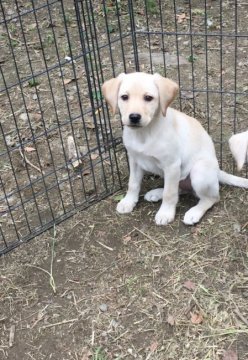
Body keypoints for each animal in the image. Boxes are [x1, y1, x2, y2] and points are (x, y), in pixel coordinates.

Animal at [101, 72, 247, 225]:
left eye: (148, 98)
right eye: (124, 97)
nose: (134, 117)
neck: (144, 133)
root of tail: (218, 172)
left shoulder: (171, 165)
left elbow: (169, 193)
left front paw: (165, 213)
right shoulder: (134, 160)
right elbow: (133, 183)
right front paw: (128, 202)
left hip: (199, 171)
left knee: (210, 198)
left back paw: (194, 213)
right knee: (181, 188)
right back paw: (156, 193)